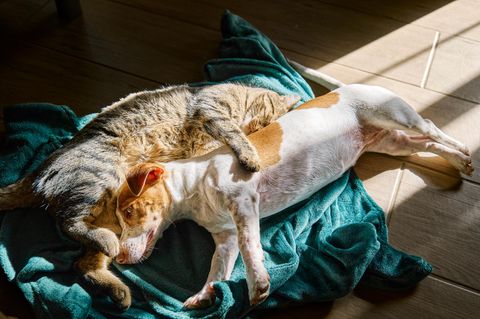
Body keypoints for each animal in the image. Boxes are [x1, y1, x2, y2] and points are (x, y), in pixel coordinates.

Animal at [0, 82, 298, 310]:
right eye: (265, 123)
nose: (258, 131)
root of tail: (36, 172)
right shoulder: (210, 109)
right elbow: (231, 132)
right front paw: (249, 154)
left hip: (111, 217)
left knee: (83, 263)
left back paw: (118, 289)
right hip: (102, 177)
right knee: (69, 222)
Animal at [111, 62, 472, 310]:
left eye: (128, 211)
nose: (119, 260)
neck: (195, 186)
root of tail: (352, 86)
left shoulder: (244, 202)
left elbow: (251, 247)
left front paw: (258, 284)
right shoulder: (225, 238)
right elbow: (218, 269)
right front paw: (203, 295)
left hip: (396, 116)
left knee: (432, 128)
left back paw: (464, 150)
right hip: (392, 142)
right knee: (427, 144)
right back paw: (459, 161)